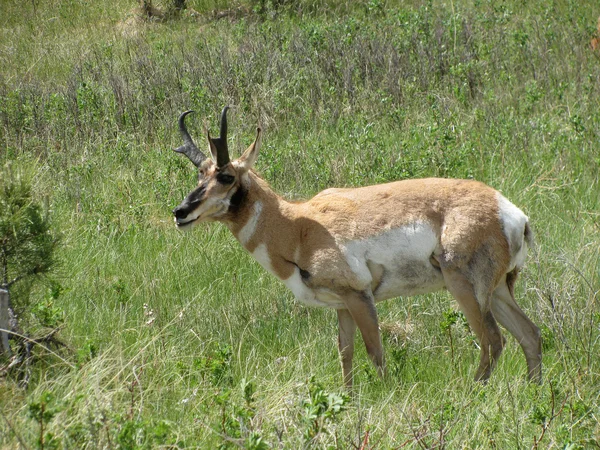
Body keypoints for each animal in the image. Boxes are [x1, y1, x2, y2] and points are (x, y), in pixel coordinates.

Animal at [171, 108, 540, 386]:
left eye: (226, 176)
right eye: (200, 173)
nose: (180, 212)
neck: (298, 225)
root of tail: (511, 212)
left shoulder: (359, 297)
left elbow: (375, 351)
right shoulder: (342, 305)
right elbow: (345, 354)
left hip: (465, 287)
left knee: (493, 340)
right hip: (498, 290)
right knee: (530, 334)